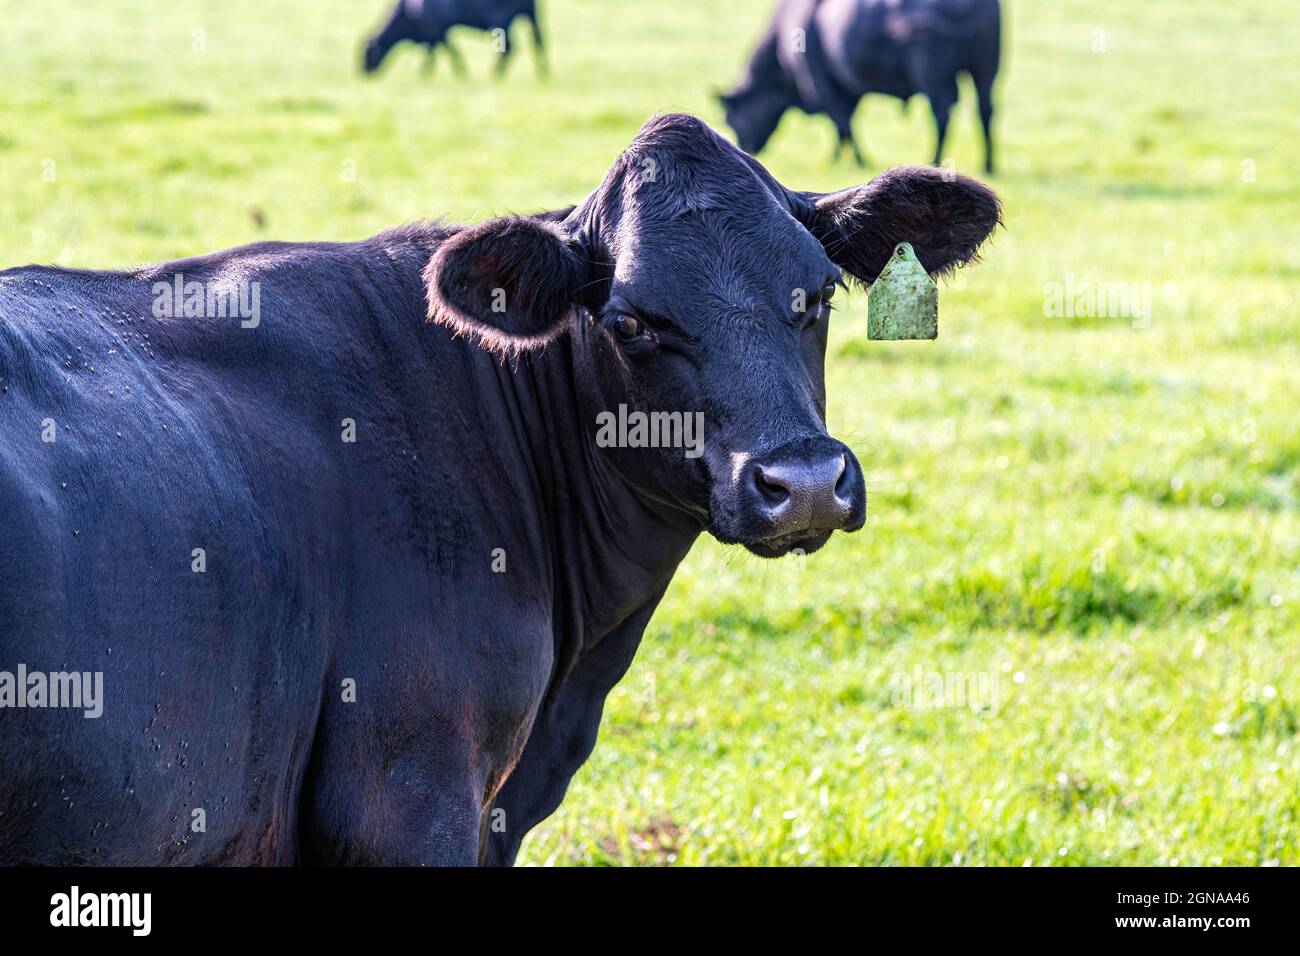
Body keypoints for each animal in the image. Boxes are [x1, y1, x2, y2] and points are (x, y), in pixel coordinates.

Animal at [362, 0, 546, 77]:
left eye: (367, 54)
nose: (363, 73)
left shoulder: (438, 32)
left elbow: (447, 52)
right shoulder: (438, 34)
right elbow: (438, 52)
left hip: (501, 20)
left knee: (511, 48)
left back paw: (495, 75)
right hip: (531, 15)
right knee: (539, 42)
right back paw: (543, 75)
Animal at [719, 0, 1001, 172]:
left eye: (732, 118)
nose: (744, 147)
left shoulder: (821, 83)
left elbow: (842, 123)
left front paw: (857, 160)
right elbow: (843, 124)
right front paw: (837, 156)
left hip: (931, 72)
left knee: (943, 112)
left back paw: (937, 159)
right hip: (986, 69)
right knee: (986, 111)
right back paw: (988, 164)